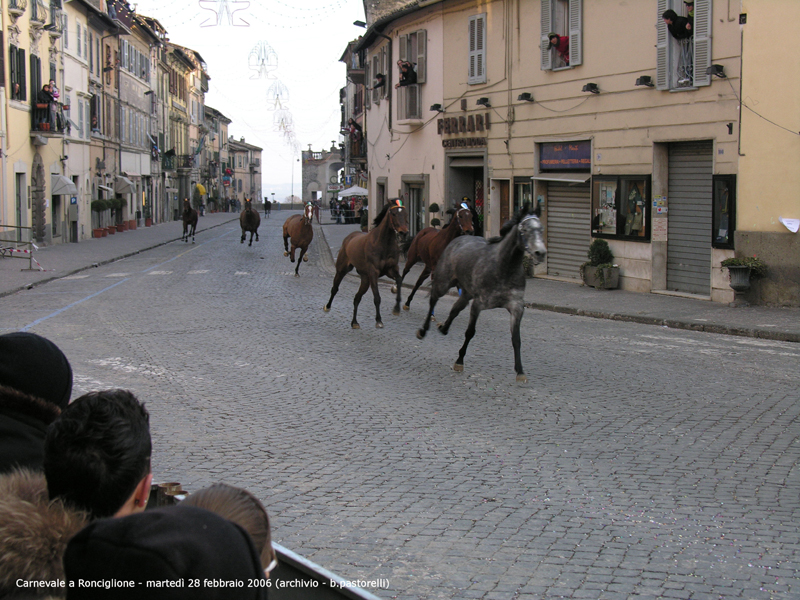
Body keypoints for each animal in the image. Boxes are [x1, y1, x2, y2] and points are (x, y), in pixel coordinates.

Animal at [324, 200, 410, 330]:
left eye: (405, 214)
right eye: (394, 214)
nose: (403, 232)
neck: (383, 243)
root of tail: (349, 238)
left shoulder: (391, 269)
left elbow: (399, 280)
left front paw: (396, 308)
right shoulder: (373, 272)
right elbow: (377, 297)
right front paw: (379, 320)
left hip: (365, 279)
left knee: (357, 297)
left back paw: (354, 322)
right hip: (342, 269)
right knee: (335, 288)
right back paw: (327, 307)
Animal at [416, 204, 548, 382]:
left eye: (541, 229)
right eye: (525, 229)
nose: (540, 253)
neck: (503, 267)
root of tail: (457, 239)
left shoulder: (516, 307)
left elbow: (516, 339)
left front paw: (520, 371)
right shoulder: (478, 304)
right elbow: (470, 332)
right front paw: (459, 361)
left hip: (466, 293)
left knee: (455, 309)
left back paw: (444, 327)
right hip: (444, 282)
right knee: (433, 299)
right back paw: (424, 329)